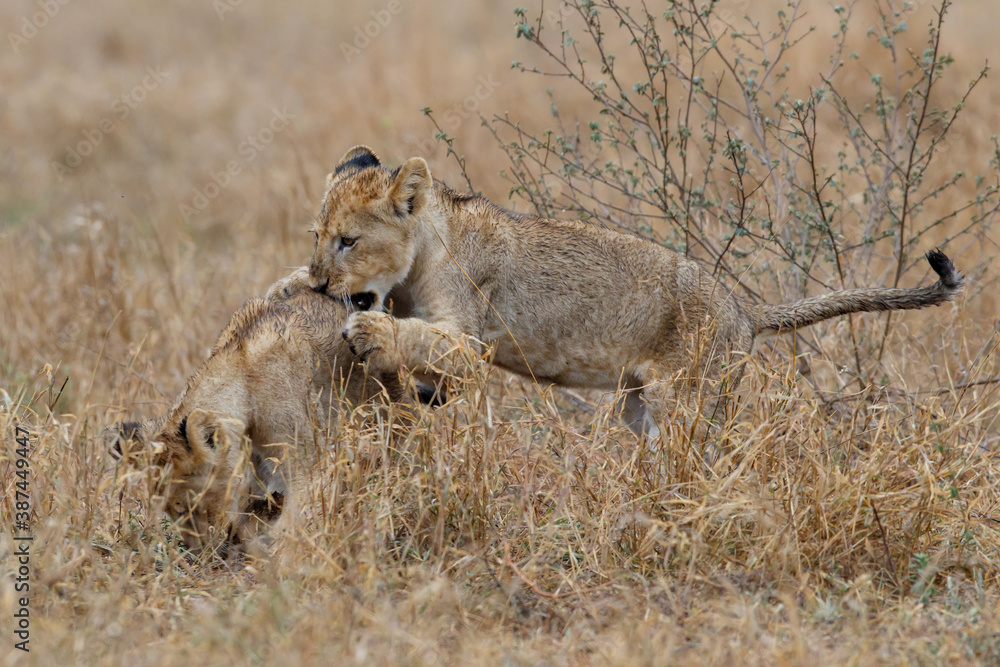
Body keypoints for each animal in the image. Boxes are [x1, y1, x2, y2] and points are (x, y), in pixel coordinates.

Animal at [105, 278, 416, 553]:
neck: (242, 373)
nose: (197, 551)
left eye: (191, 506)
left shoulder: (308, 459)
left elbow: (298, 514)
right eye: (171, 510)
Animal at [305, 145, 964, 437]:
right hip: (640, 403)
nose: (315, 282)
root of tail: (743, 308)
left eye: (347, 241)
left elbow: (427, 338)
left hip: (689, 395)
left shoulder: (472, 344)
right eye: (317, 235)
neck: (422, 254)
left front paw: (370, 330)